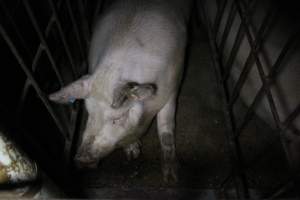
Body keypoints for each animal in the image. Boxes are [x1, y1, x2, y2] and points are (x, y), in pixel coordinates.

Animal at [48, 0, 191, 182]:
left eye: (118, 118)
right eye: (89, 113)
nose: (81, 159)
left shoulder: (172, 87)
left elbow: (166, 127)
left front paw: (171, 177)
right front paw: (133, 154)